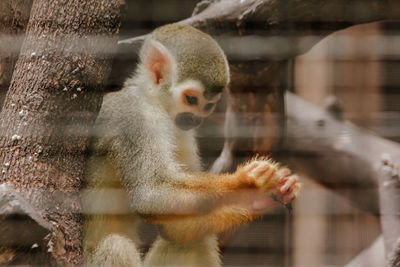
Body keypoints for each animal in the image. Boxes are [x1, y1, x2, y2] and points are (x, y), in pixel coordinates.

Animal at [83, 24, 298, 266]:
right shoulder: (134, 116)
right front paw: (246, 184)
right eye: (191, 99)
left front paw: (256, 200)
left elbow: (173, 227)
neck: (153, 101)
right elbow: (151, 195)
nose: (194, 120)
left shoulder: (182, 132)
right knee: (115, 246)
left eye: (209, 106)